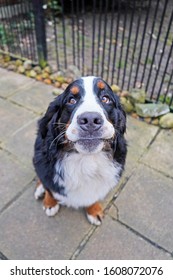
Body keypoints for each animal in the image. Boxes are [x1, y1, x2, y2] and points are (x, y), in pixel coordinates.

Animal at [32, 76, 127, 225]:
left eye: (106, 98)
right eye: (71, 100)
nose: (90, 119)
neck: (86, 160)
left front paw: (94, 210)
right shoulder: (45, 168)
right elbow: (50, 189)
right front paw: (50, 203)